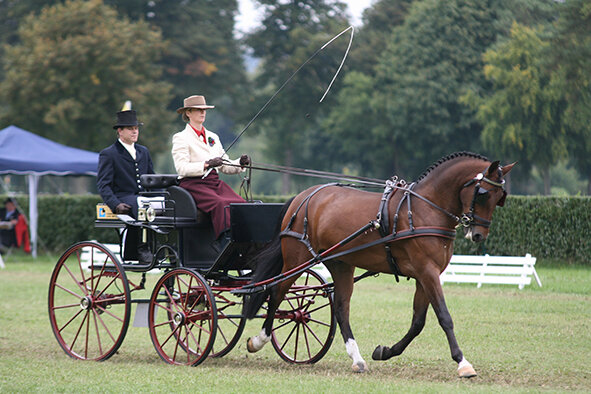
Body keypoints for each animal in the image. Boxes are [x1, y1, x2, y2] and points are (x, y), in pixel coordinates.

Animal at [243, 152, 516, 378]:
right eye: (483, 194)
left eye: (500, 198)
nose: (478, 235)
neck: (424, 209)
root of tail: (304, 196)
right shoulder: (427, 272)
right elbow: (444, 316)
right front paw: (463, 363)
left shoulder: (425, 275)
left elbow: (418, 322)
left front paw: (384, 351)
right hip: (296, 259)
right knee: (276, 292)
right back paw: (258, 340)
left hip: (340, 263)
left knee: (340, 308)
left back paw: (357, 359)